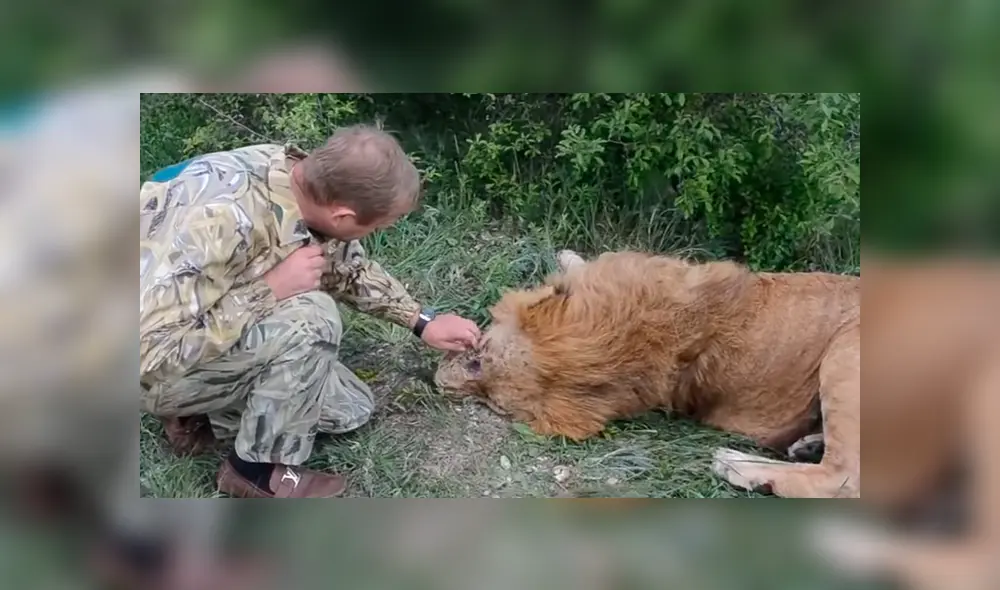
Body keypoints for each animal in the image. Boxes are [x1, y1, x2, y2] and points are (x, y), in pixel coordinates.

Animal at [434, 249, 860, 498]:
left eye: (477, 359)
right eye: (491, 401)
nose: (437, 383)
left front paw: (566, 258)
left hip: (843, 353)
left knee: (842, 477)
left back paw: (736, 463)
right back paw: (805, 445)